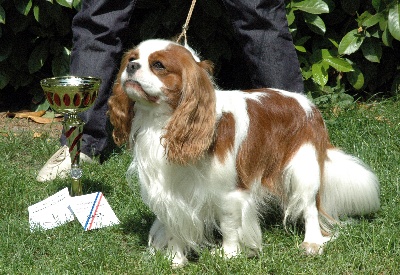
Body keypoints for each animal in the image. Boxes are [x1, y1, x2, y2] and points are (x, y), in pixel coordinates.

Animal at [107, 38, 382, 268]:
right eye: (133, 57)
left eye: (158, 65)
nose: (131, 66)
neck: (163, 123)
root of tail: (308, 105)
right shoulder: (168, 192)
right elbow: (175, 226)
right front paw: (175, 260)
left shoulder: (229, 191)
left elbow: (229, 224)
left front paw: (228, 254)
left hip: (304, 169)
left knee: (310, 207)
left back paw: (312, 242)